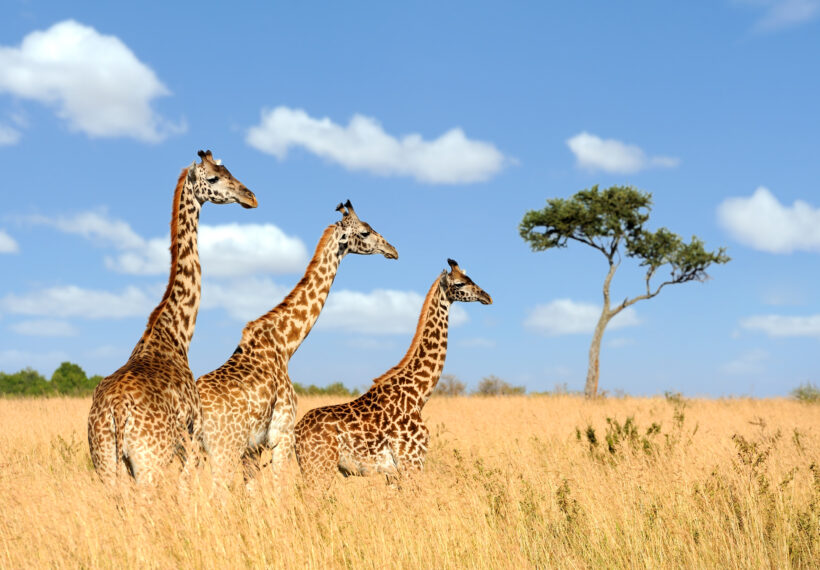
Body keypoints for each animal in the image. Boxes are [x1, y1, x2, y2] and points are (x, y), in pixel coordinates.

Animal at [87, 149, 256, 482]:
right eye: (214, 178)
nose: (251, 197)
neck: (175, 333)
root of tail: (117, 410)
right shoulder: (193, 437)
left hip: (105, 462)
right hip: (149, 462)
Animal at [199, 199, 400, 484]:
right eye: (364, 232)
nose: (392, 250)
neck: (285, 344)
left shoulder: (254, 447)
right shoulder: (282, 434)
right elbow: (279, 485)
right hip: (224, 447)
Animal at [294, 258, 490, 484]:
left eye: (470, 278)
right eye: (459, 283)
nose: (487, 296)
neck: (418, 395)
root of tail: (296, 432)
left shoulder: (394, 474)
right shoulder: (411, 462)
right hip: (319, 467)